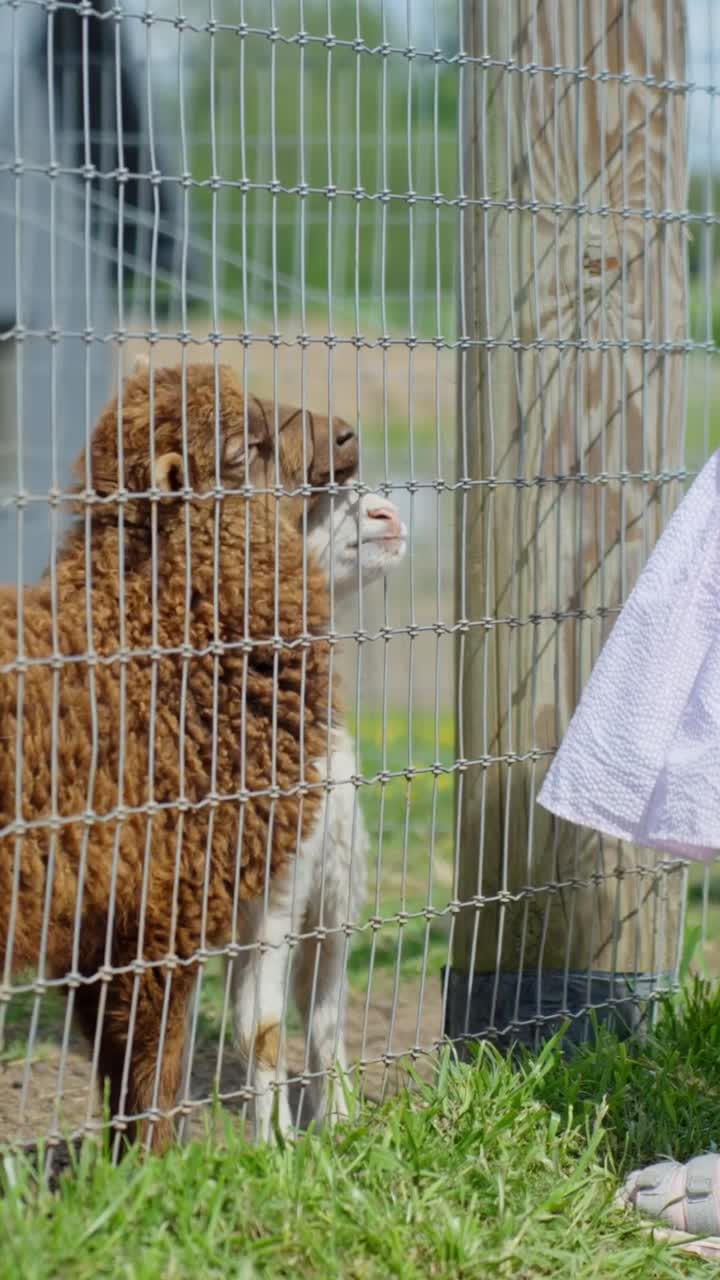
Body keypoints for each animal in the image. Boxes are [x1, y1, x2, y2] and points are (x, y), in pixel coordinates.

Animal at [0, 359, 359, 1153]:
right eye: (245, 446)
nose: (347, 434)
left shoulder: (99, 927)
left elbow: (120, 1068)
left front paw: (121, 1166)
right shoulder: (159, 903)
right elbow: (154, 1070)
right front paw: (154, 1169)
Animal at [224, 485, 407, 1140]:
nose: (387, 514)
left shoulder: (280, 890)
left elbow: (264, 1023)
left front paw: (276, 1139)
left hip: (336, 885)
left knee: (323, 1006)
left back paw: (341, 1116)